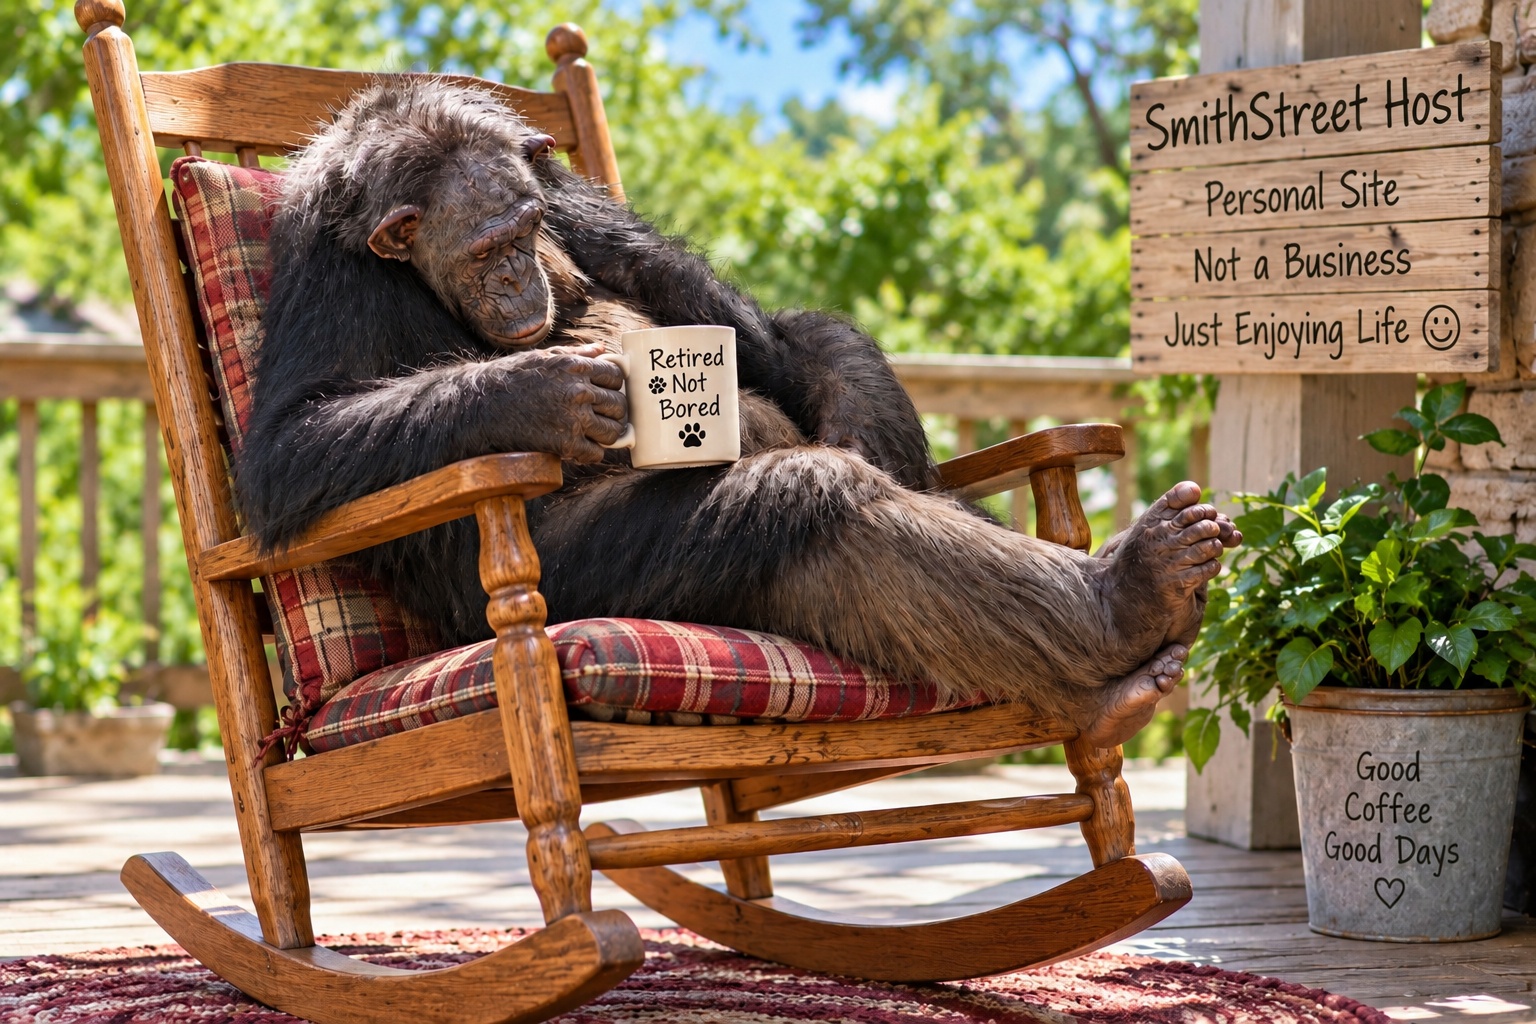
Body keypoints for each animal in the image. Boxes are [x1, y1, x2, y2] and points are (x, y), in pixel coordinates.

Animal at [237, 80, 1239, 749]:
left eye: (525, 230)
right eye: (488, 250)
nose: (522, 276)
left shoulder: (562, 192)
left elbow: (693, 293)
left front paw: (861, 412)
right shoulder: (325, 271)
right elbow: (293, 445)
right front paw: (544, 392)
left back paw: (1129, 614)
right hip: (583, 577)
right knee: (810, 498)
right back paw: (1123, 609)